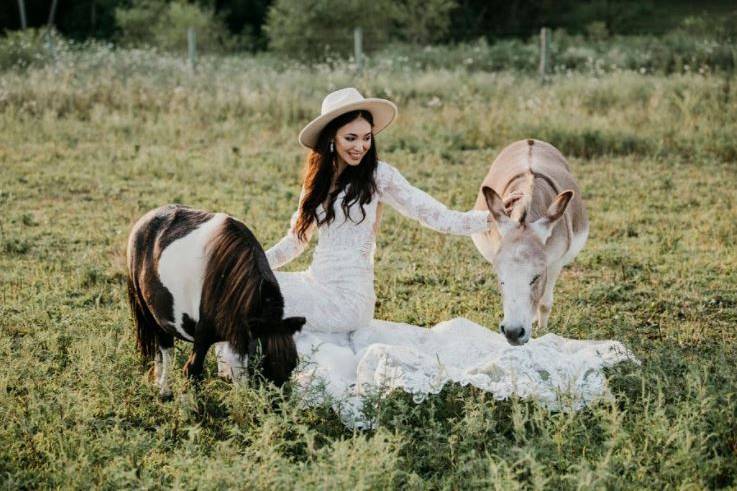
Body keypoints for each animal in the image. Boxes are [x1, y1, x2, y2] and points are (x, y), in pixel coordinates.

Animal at [125, 203, 304, 396]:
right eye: (264, 365)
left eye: (293, 365)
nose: (281, 403)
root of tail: (144, 221)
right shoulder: (204, 335)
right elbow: (192, 370)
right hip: (152, 315)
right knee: (165, 351)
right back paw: (164, 390)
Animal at [474, 138, 588, 346]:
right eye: (500, 279)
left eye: (536, 277)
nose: (512, 333)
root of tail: (530, 140)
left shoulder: (554, 264)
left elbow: (544, 303)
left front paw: (543, 331)